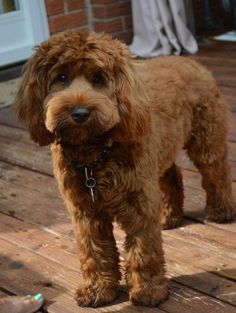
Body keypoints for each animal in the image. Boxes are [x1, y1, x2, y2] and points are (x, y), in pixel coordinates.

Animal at [13, 31, 236, 308]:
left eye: (98, 78)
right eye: (61, 77)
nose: (79, 113)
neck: (94, 154)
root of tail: (188, 61)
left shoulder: (139, 202)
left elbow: (143, 250)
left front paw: (149, 291)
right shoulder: (86, 211)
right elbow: (94, 251)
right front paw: (97, 289)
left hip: (206, 140)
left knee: (217, 174)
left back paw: (220, 212)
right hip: (160, 154)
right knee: (173, 177)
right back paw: (168, 216)